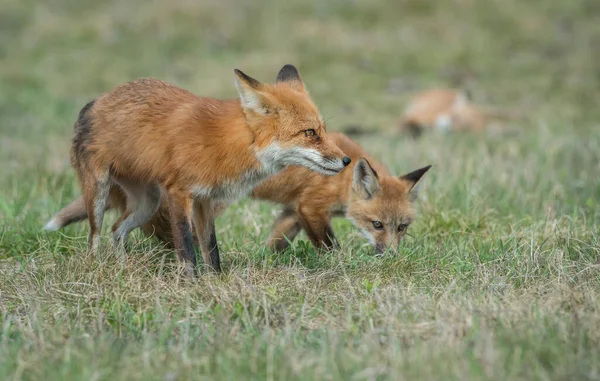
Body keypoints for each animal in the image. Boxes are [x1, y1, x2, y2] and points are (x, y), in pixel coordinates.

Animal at [48, 131, 432, 255]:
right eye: (377, 225)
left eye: (402, 227)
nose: (391, 256)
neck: (339, 179)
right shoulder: (312, 208)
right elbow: (330, 247)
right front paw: (338, 265)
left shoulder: (293, 211)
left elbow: (277, 240)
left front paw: (269, 259)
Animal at [54, 63, 352, 274]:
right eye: (309, 133)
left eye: (323, 130)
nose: (347, 160)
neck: (231, 144)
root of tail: (97, 101)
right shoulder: (179, 193)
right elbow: (187, 248)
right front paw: (191, 284)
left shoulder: (205, 199)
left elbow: (211, 248)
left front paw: (216, 281)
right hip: (99, 193)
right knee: (95, 238)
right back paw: (97, 270)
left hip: (147, 203)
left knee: (117, 229)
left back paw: (123, 269)